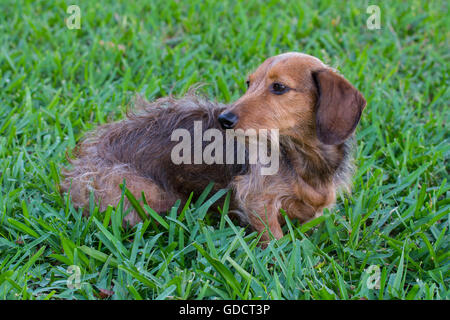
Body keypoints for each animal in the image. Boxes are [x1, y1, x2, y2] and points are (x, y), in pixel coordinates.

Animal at [61, 52, 368, 242]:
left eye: (279, 87)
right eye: (249, 83)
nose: (224, 119)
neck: (302, 156)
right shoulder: (256, 199)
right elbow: (274, 237)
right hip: (146, 192)